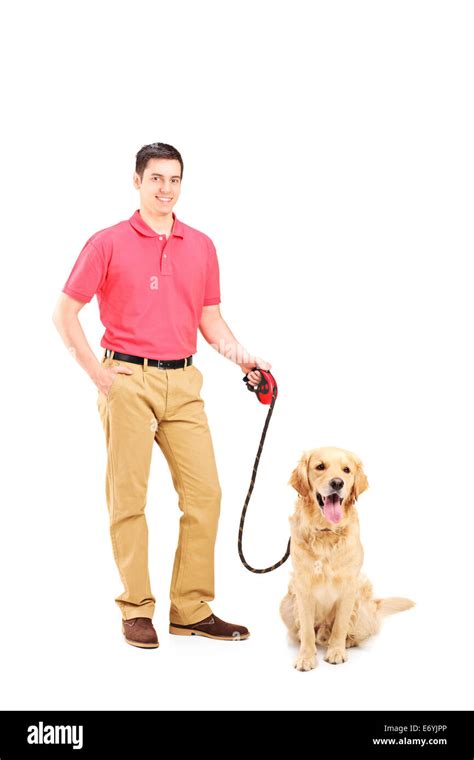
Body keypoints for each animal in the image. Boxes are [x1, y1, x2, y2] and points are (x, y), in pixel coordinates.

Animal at [280, 446, 412, 672]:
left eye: (346, 470)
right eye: (320, 466)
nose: (337, 483)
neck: (326, 531)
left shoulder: (349, 585)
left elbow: (341, 624)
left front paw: (336, 651)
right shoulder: (302, 586)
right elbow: (306, 629)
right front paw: (306, 657)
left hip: (362, 602)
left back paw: (347, 641)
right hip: (287, 603)